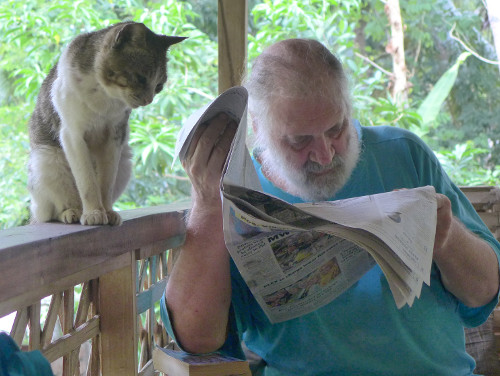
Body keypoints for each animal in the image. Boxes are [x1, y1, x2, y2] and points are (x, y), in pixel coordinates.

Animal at [26, 22, 186, 226]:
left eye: (159, 87)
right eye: (141, 78)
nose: (148, 100)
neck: (104, 96)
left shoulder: (114, 137)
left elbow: (105, 184)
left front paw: (107, 212)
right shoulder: (72, 136)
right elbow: (87, 183)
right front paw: (93, 213)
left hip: (125, 161)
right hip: (46, 161)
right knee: (54, 211)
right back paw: (73, 212)